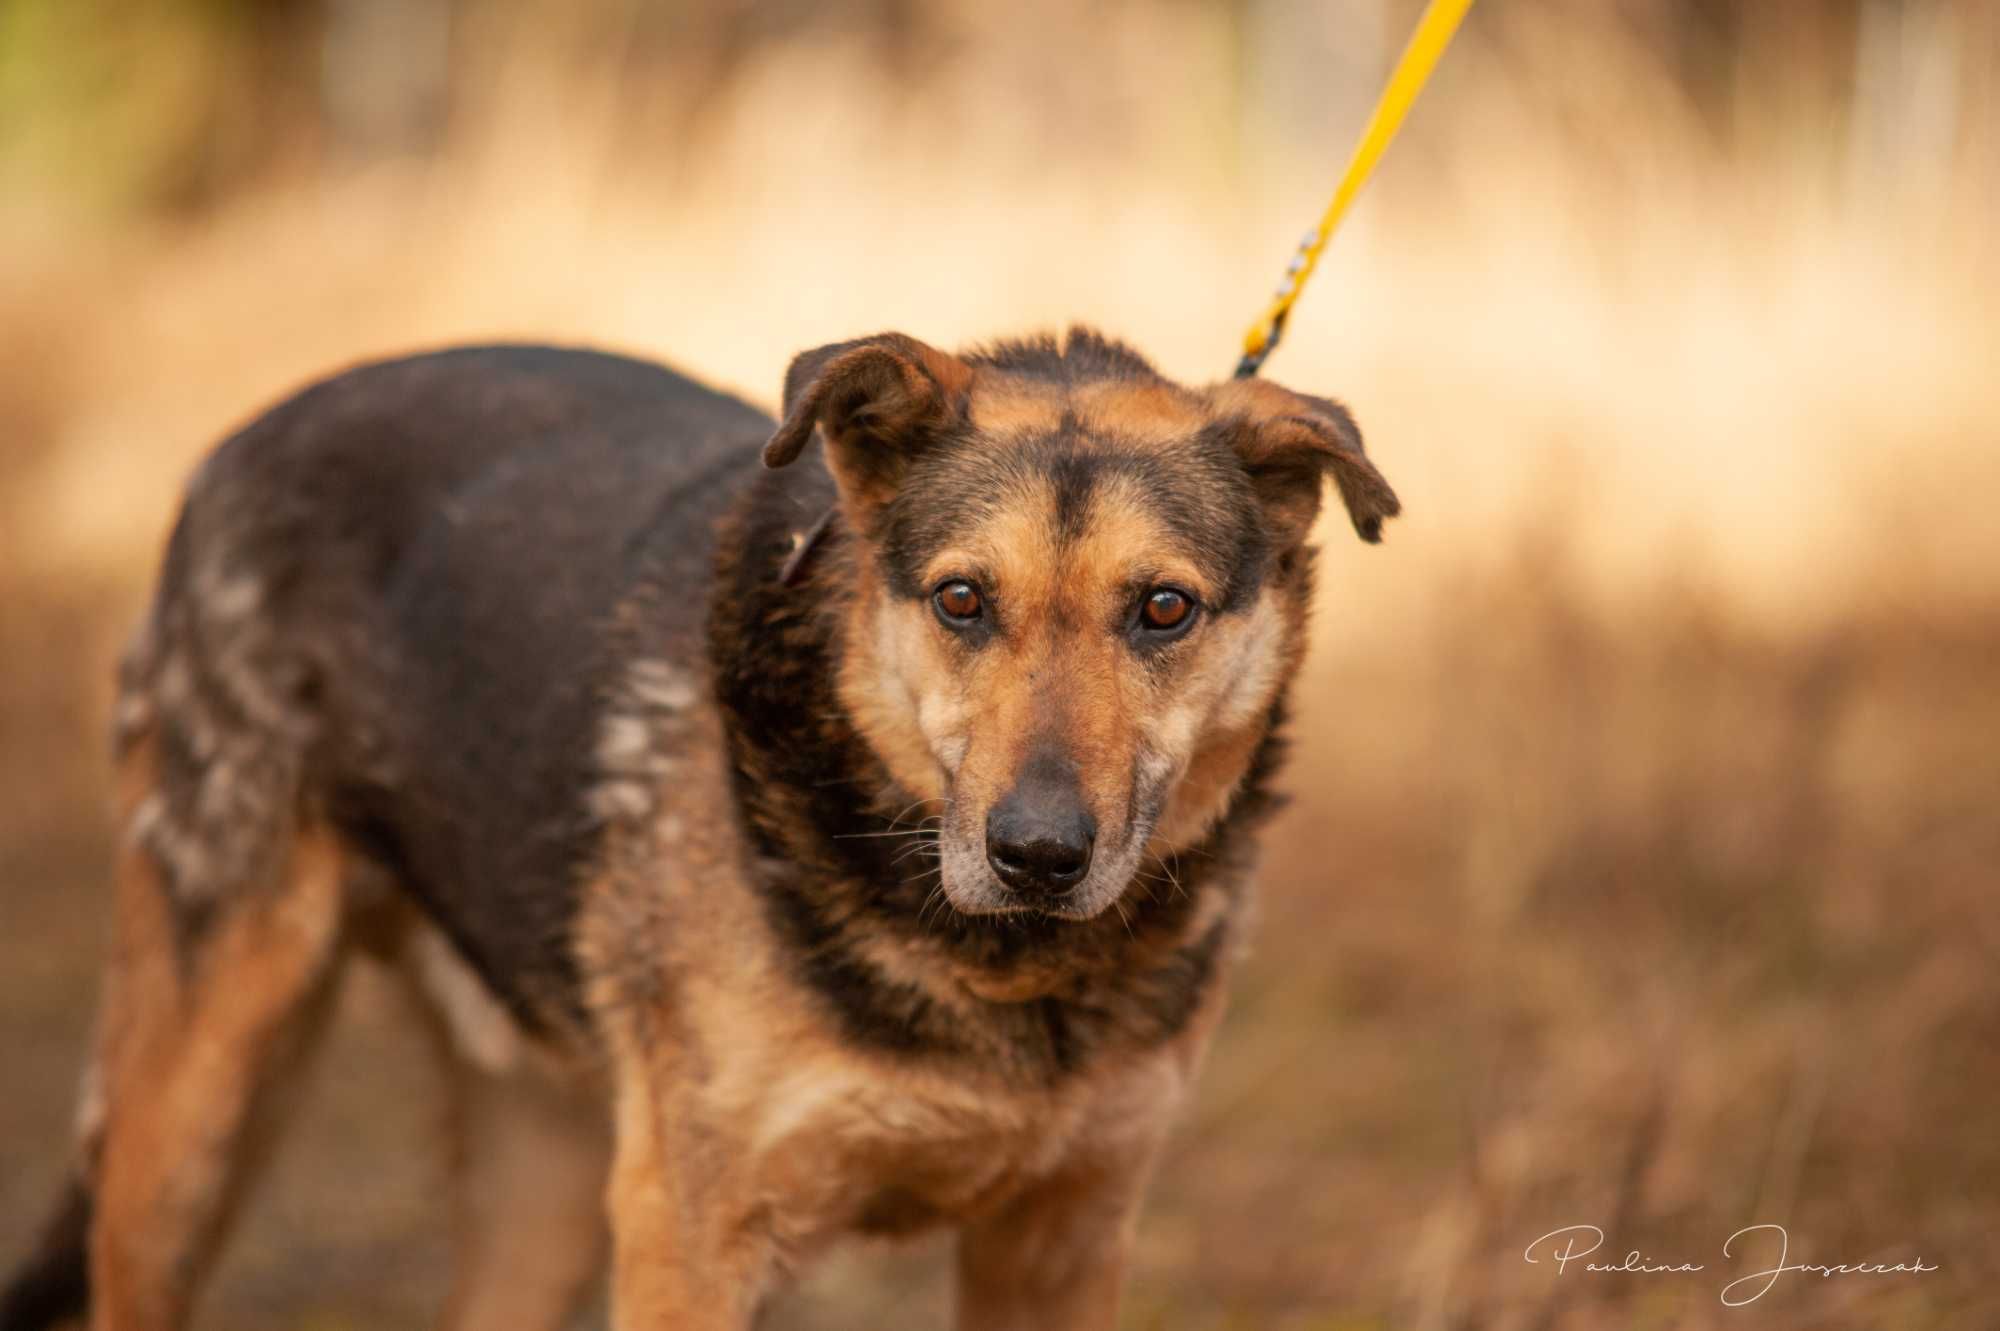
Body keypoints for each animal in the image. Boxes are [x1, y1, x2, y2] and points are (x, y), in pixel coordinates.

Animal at [0, 323, 1400, 1327]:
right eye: (961, 600)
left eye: (1162, 609)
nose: (1038, 855)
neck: (1002, 972)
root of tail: (240, 440)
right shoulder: (694, 1234)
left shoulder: (1062, 1231)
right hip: (193, 1113)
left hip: (544, 1176)